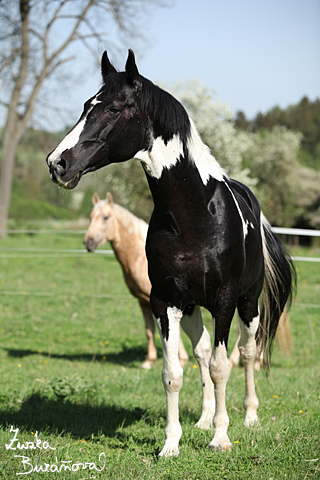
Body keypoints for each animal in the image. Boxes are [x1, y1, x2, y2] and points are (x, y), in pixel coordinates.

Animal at [82, 191, 189, 368]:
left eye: (105, 217)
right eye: (90, 216)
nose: (88, 242)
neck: (141, 258)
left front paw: (182, 359)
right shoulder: (142, 301)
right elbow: (149, 330)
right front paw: (149, 360)